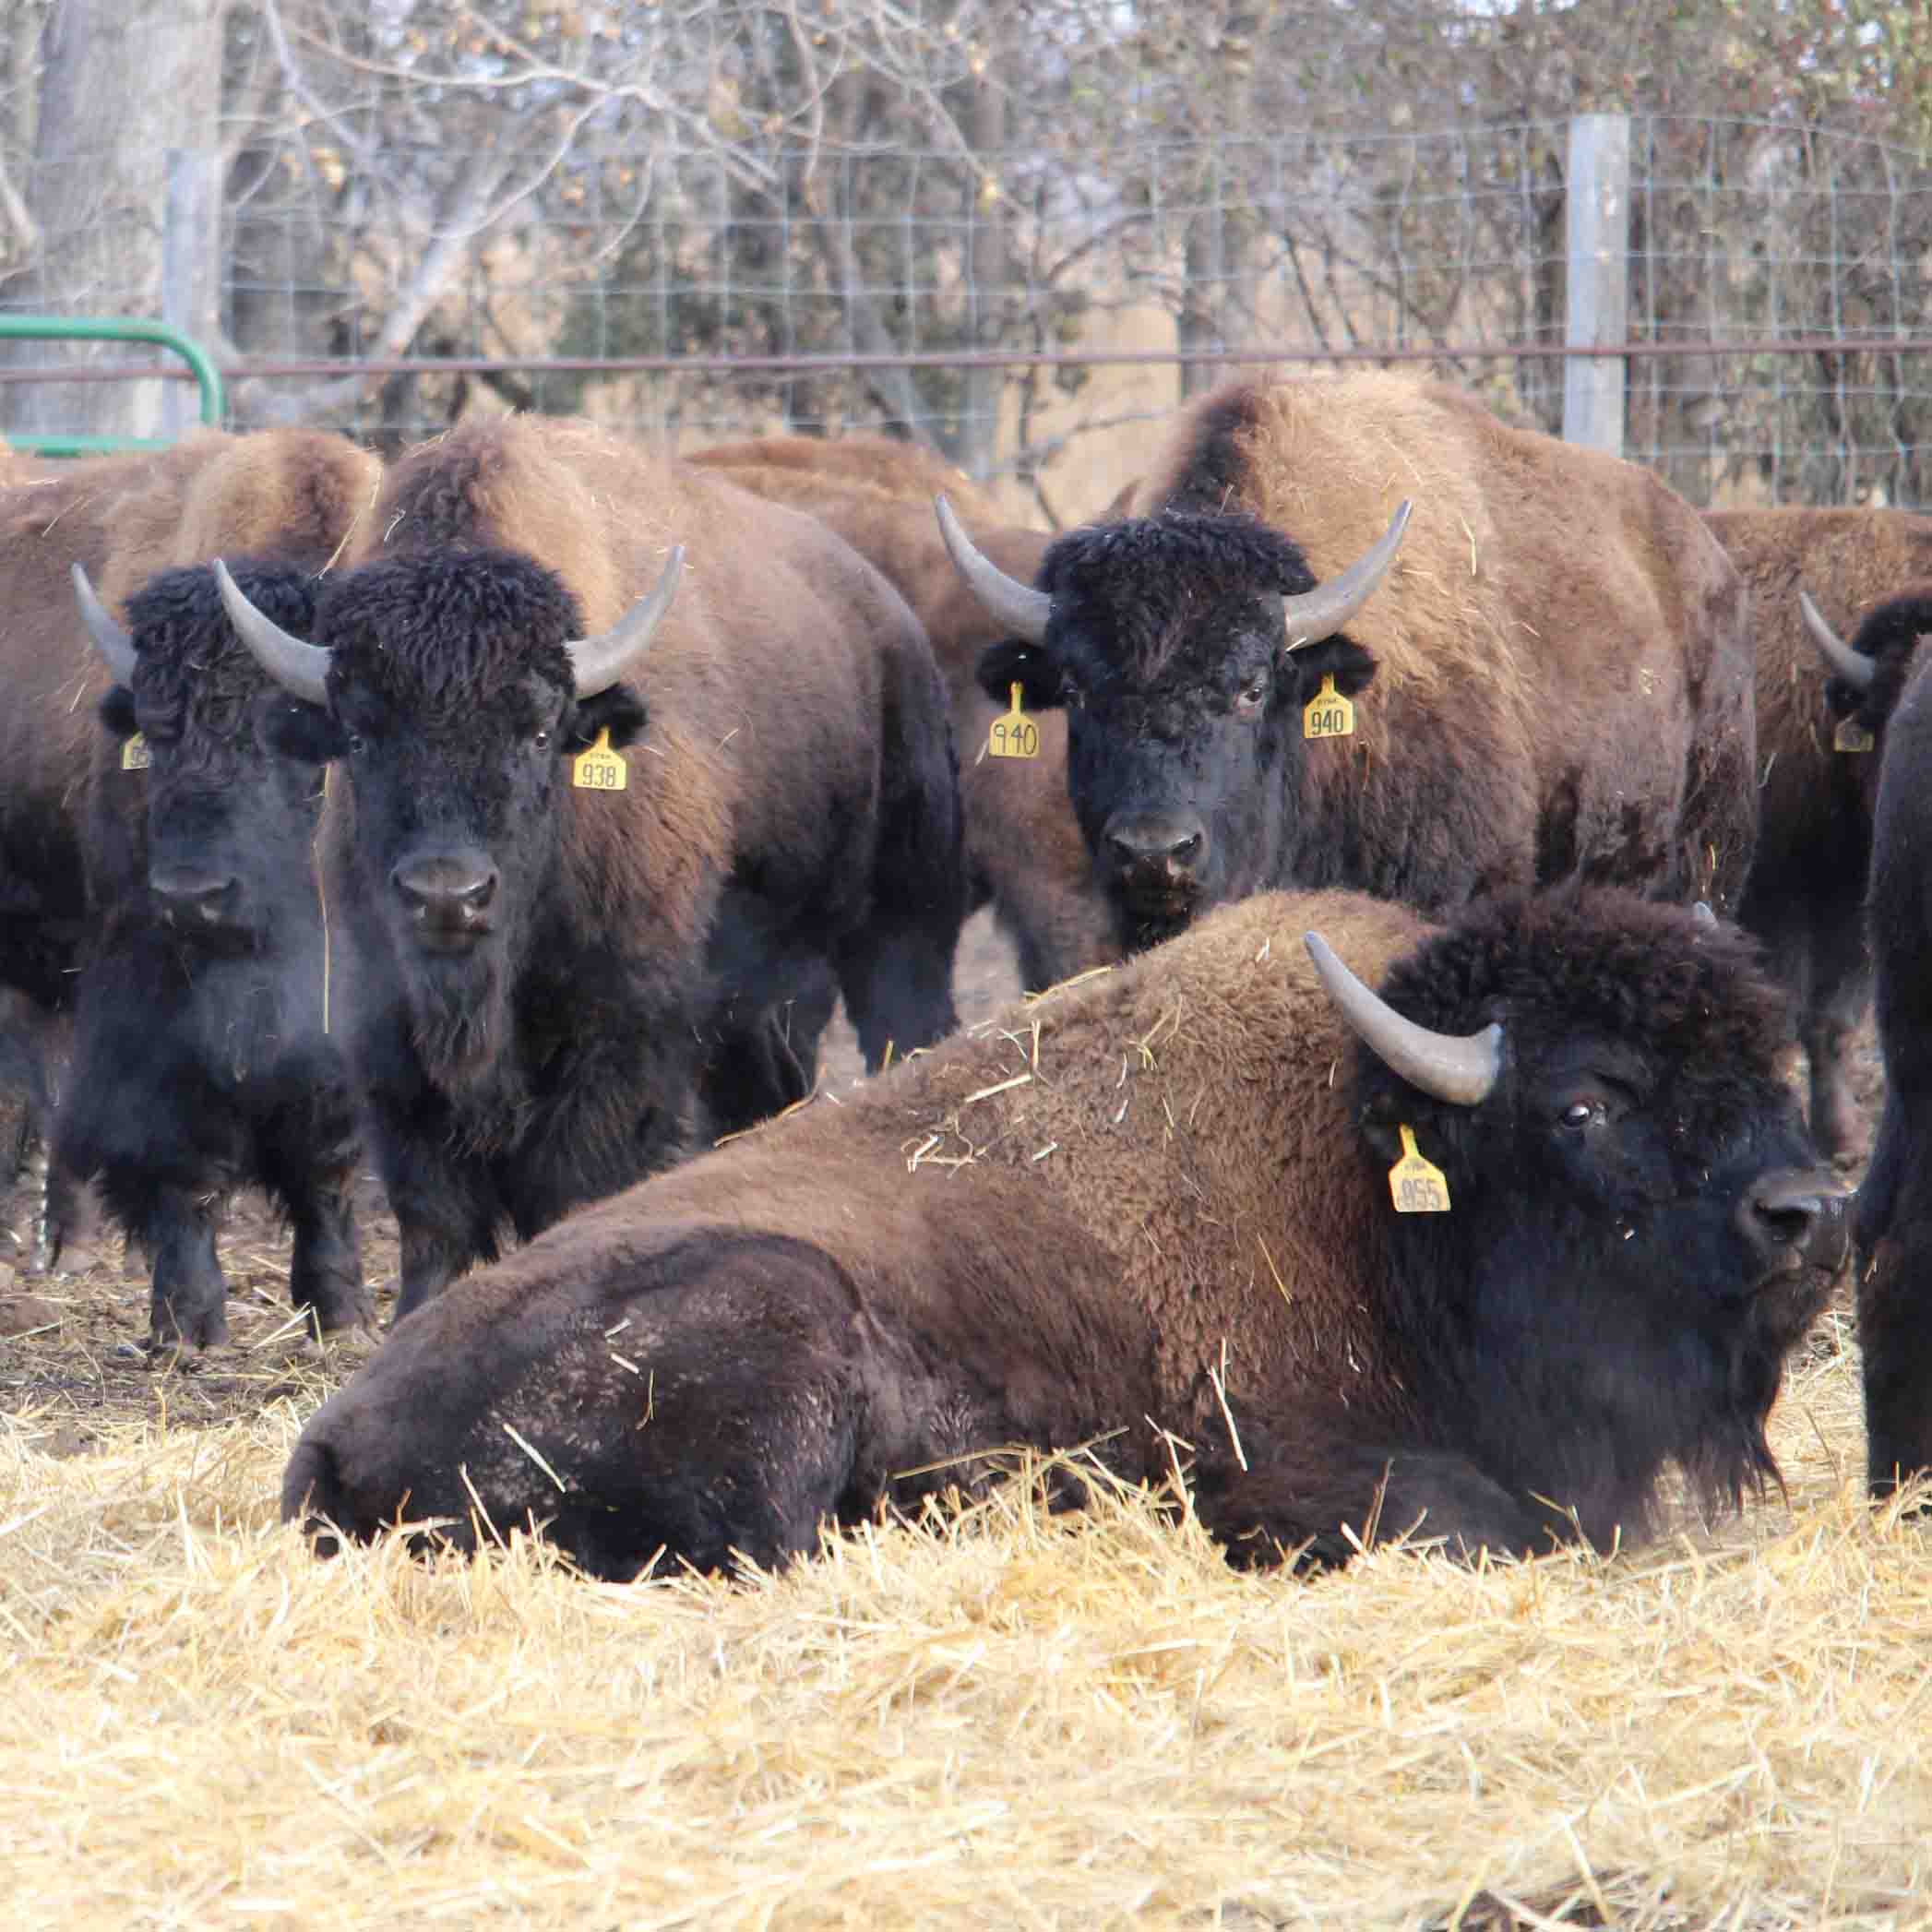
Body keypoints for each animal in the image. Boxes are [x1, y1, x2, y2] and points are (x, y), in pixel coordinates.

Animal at [221, 417, 968, 1318]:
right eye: (360, 736)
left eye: (540, 732)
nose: (447, 896)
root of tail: (888, 620)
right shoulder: (388, 1035)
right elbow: (432, 1208)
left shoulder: (619, 1029)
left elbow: (571, 1182)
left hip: (902, 924)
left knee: (906, 1026)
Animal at [284, 884, 1845, 1581]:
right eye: (1586, 1100)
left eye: (1765, 1067)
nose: (1806, 1214)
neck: (1374, 1184)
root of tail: (330, 1429)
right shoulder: (1290, 1469)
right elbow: (1474, 1522)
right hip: (781, 1304)